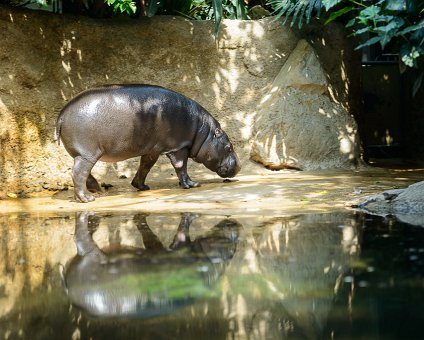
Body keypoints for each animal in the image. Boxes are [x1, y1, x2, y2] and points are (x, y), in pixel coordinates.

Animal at [56, 85, 240, 202]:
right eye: (229, 147)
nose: (239, 166)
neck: (203, 133)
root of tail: (62, 115)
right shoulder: (179, 147)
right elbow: (181, 166)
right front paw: (192, 184)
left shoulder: (153, 149)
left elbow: (145, 166)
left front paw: (142, 186)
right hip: (87, 154)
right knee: (78, 173)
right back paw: (87, 199)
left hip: (81, 154)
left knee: (83, 173)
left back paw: (95, 191)